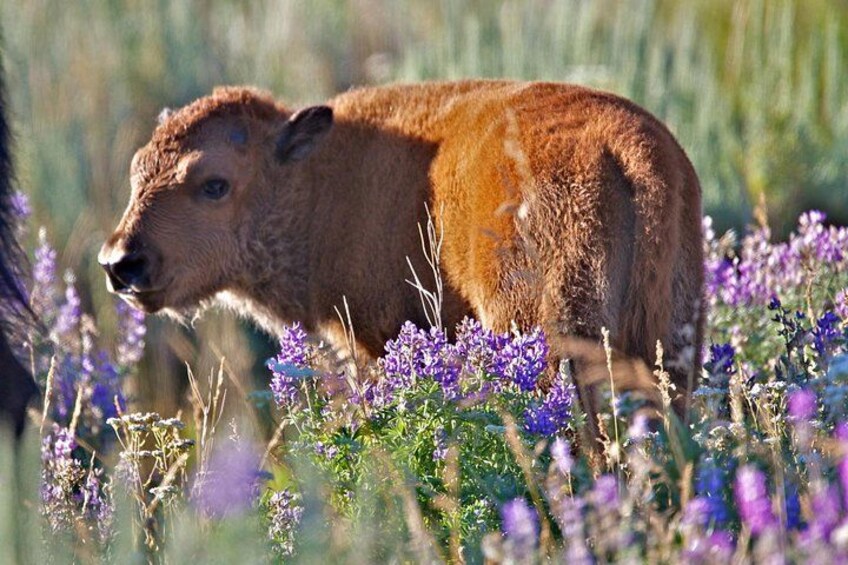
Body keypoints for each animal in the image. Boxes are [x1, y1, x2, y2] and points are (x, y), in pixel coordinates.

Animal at [99, 80, 704, 420]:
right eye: (135, 172)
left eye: (214, 184)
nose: (120, 262)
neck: (311, 180)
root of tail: (627, 150)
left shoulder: (370, 339)